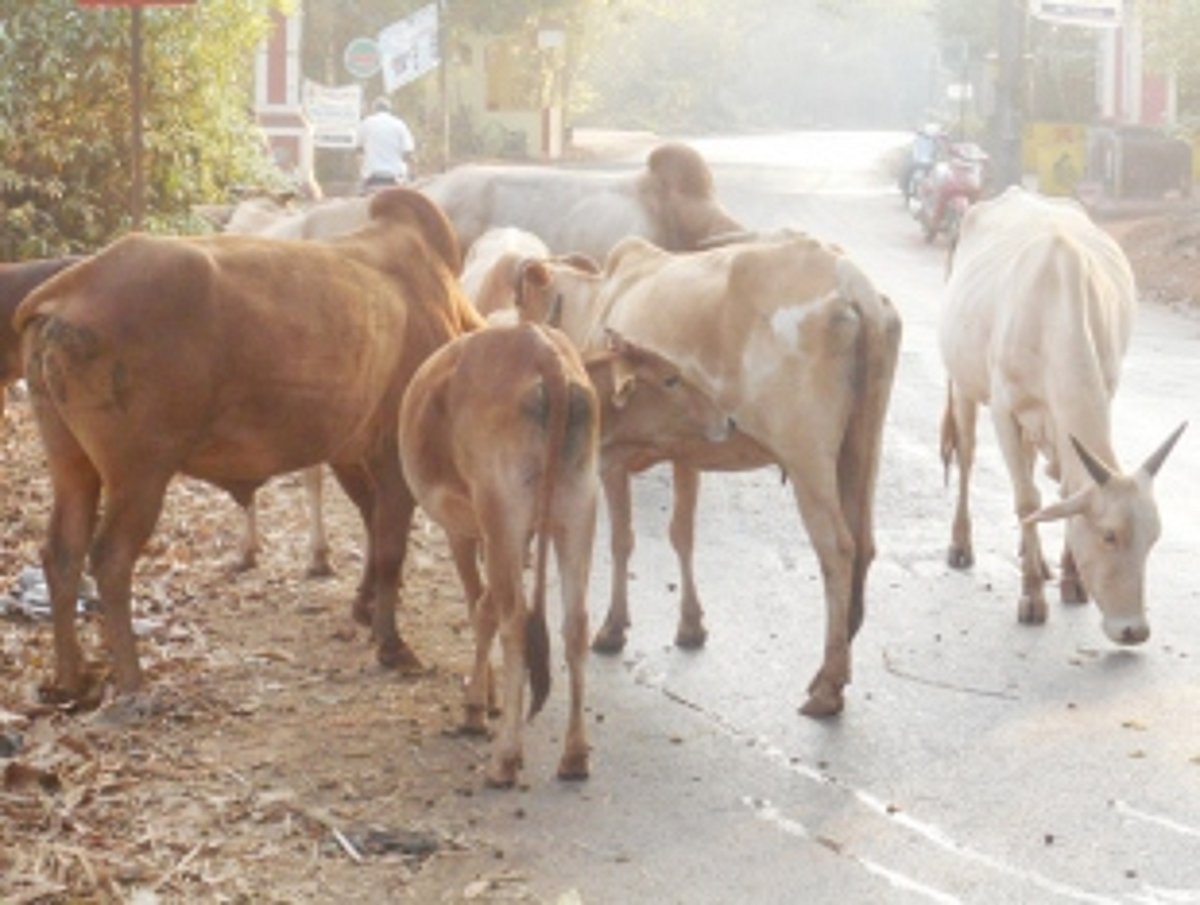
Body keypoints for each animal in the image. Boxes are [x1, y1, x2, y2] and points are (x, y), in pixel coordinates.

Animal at [16, 187, 484, 701]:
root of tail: (72, 286)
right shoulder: (390, 457)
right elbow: (389, 548)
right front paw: (392, 644)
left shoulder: (351, 451)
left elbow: (375, 528)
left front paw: (365, 610)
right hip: (139, 474)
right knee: (110, 559)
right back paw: (133, 680)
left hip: (73, 464)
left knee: (61, 554)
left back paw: (71, 677)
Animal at [505, 232, 902, 717]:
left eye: (521, 306)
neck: (598, 302)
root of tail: (852, 282)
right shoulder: (687, 455)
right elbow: (681, 534)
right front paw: (691, 625)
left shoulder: (609, 460)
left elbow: (621, 540)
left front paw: (613, 629)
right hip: (862, 447)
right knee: (864, 544)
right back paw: (833, 663)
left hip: (808, 460)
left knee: (839, 550)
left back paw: (828, 686)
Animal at [939, 186, 1185, 645]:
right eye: (1109, 536)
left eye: (1154, 538)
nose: (1134, 630)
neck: (1052, 304)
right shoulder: (1004, 408)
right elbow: (1026, 498)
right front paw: (1033, 598)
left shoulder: (1100, 392)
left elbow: (1066, 490)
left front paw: (1071, 580)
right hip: (963, 384)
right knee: (967, 457)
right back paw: (962, 546)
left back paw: (1035, 558)